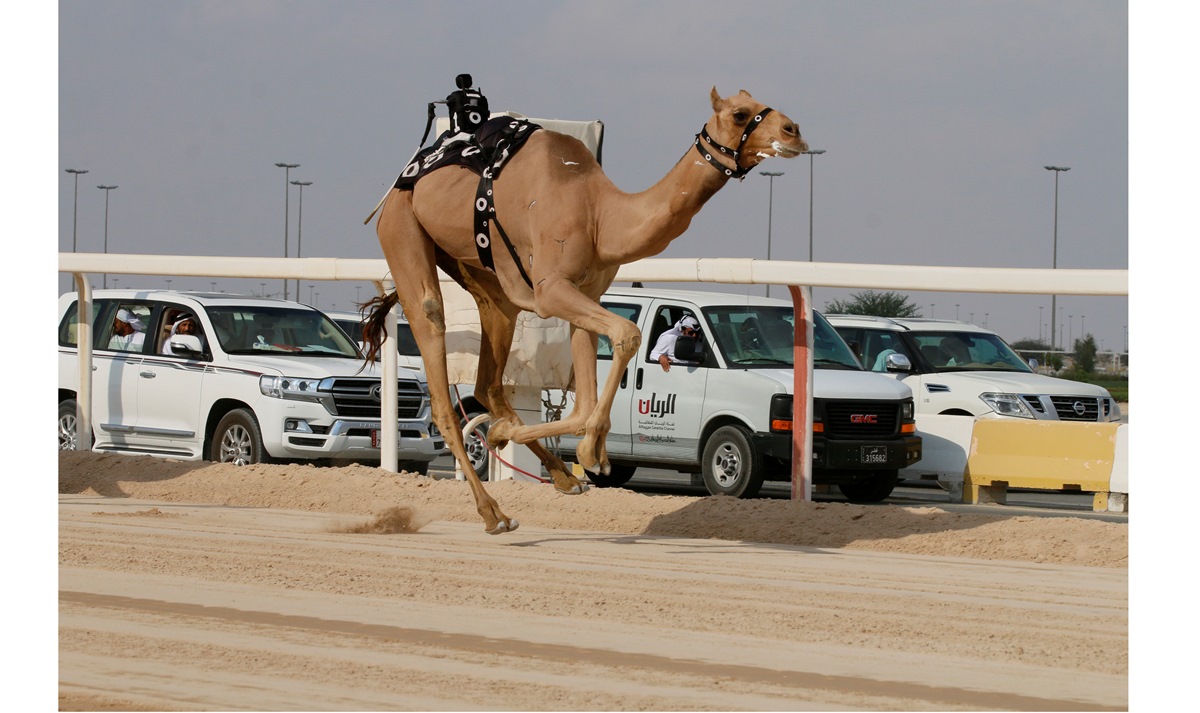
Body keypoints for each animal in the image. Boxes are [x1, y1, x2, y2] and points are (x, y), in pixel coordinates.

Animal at [362, 87, 806, 532]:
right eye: (740, 113)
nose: (794, 131)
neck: (599, 214)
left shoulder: (587, 292)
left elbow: (585, 396)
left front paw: (529, 442)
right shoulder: (551, 288)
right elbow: (627, 335)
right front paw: (585, 451)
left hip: (480, 273)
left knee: (489, 376)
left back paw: (553, 471)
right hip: (401, 228)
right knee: (435, 344)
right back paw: (493, 512)